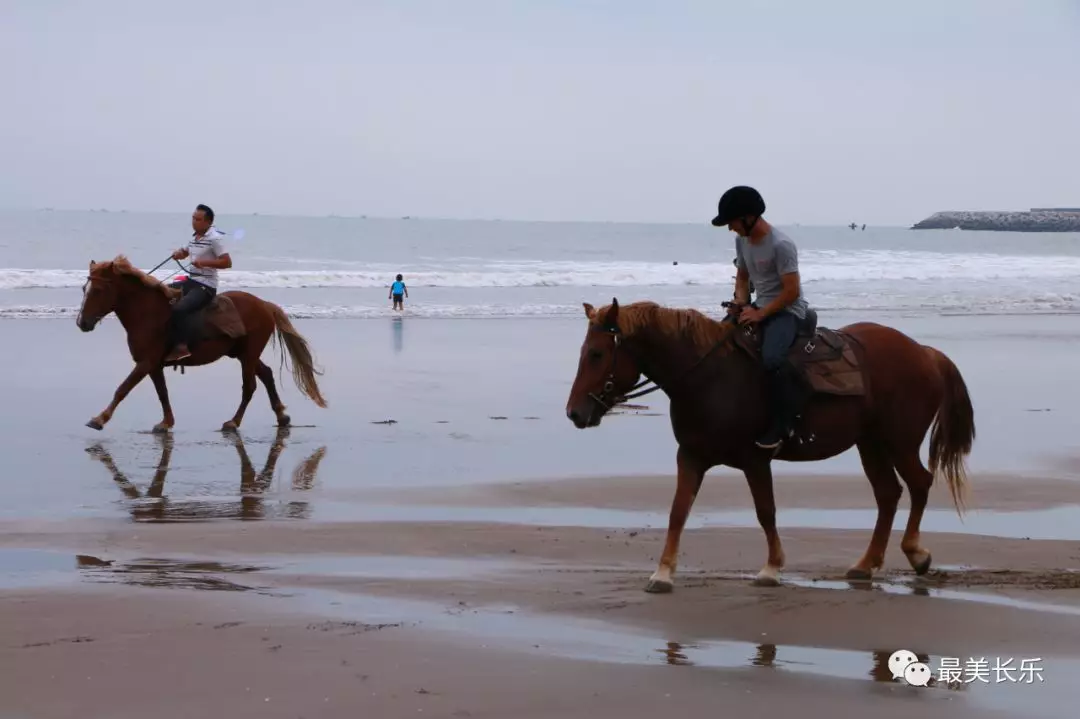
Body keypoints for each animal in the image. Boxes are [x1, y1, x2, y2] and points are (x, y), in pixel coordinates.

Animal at [78, 253, 326, 427]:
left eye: (98, 290)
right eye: (84, 288)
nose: (82, 323)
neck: (147, 314)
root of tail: (264, 304)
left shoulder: (146, 363)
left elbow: (122, 389)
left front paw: (99, 419)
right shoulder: (154, 365)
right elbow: (162, 393)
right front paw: (166, 423)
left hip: (248, 354)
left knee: (250, 386)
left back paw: (234, 422)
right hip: (243, 353)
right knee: (266, 374)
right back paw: (281, 416)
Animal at [565, 300, 980, 591]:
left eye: (598, 354)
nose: (574, 413)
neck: (709, 377)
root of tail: (925, 352)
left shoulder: (755, 459)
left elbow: (766, 512)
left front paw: (772, 567)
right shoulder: (692, 456)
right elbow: (678, 511)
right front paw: (663, 573)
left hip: (899, 441)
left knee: (919, 484)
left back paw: (916, 553)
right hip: (870, 443)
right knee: (888, 494)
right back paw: (866, 564)